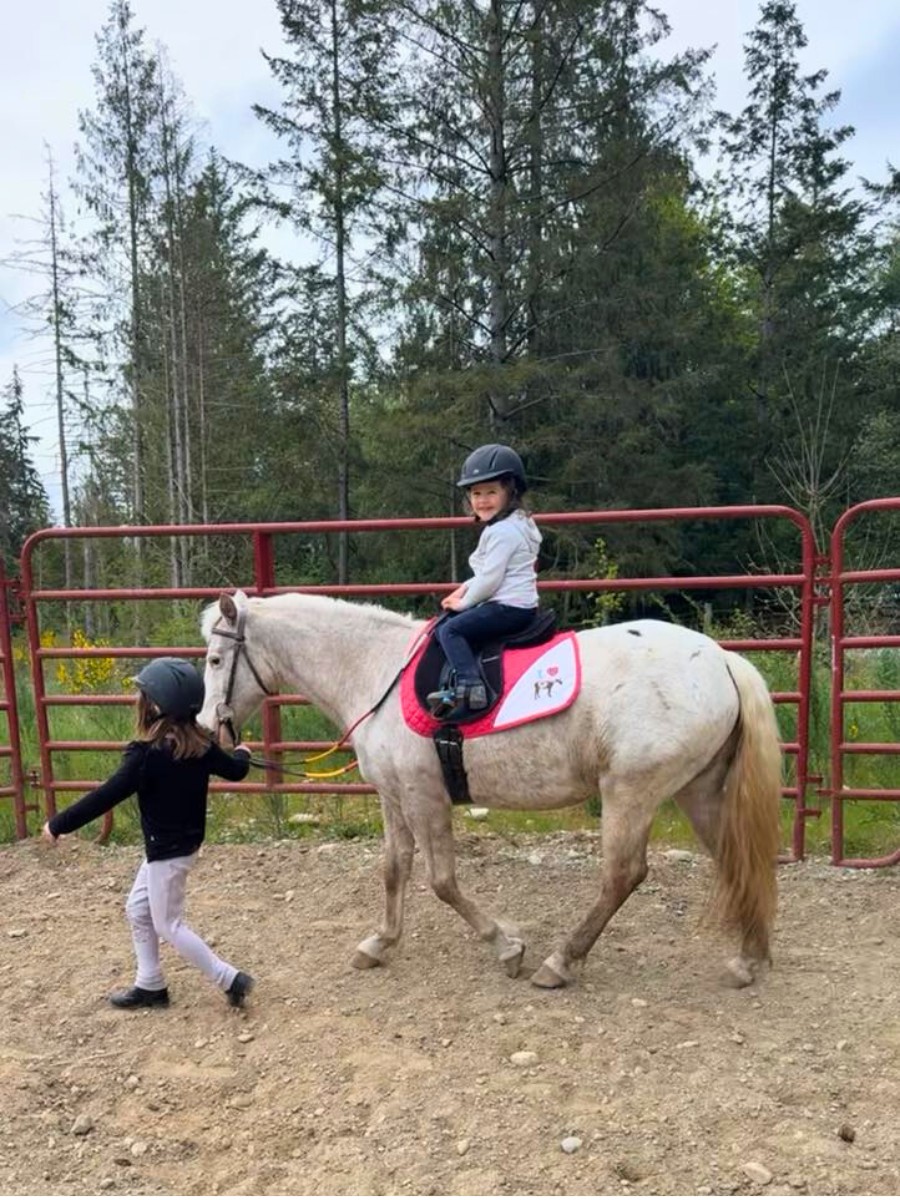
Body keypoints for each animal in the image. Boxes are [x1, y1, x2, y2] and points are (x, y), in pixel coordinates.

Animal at [198, 590, 783, 989]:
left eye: (214, 660)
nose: (208, 727)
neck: (376, 670)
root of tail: (722, 659)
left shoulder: (425, 797)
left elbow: (441, 882)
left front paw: (507, 946)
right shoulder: (393, 796)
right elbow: (393, 870)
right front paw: (380, 942)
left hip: (629, 792)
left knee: (623, 876)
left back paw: (561, 962)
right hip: (699, 790)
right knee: (735, 858)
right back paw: (749, 958)